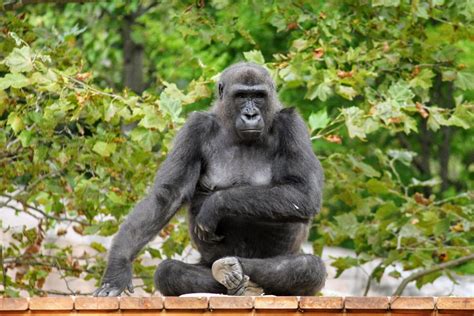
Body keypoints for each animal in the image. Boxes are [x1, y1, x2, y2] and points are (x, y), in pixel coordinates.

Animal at [95, 61, 328, 296]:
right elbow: (167, 195)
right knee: (168, 271)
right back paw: (230, 280)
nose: (251, 115)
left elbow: (303, 193)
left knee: (308, 267)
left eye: (259, 96)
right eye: (241, 96)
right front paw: (118, 268)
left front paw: (215, 205)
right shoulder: (195, 128)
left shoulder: (292, 124)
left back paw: (238, 269)